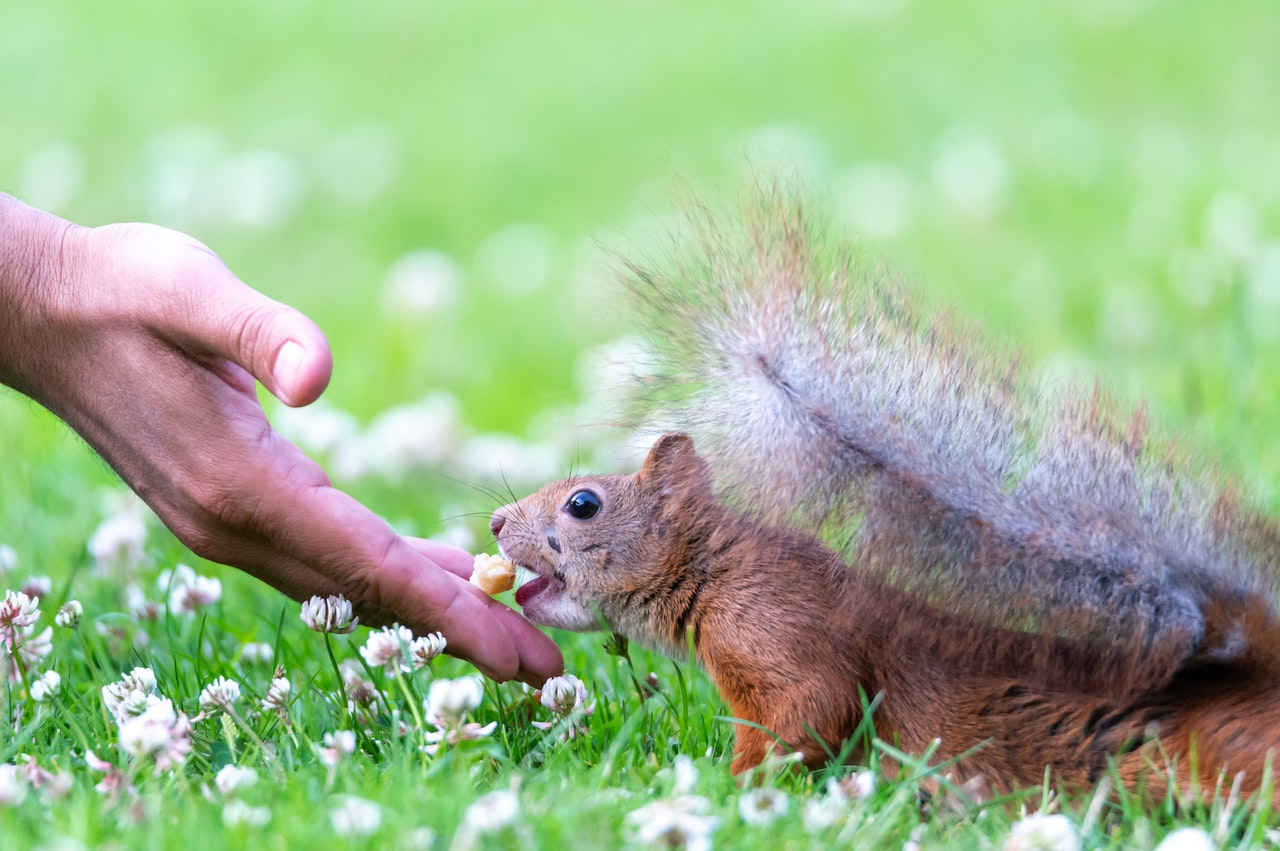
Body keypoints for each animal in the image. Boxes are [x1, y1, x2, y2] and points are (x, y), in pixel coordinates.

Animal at [489, 190, 1280, 802]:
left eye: (583, 504)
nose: (496, 521)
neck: (716, 570)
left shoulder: (781, 634)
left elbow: (809, 713)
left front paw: (729, 789)